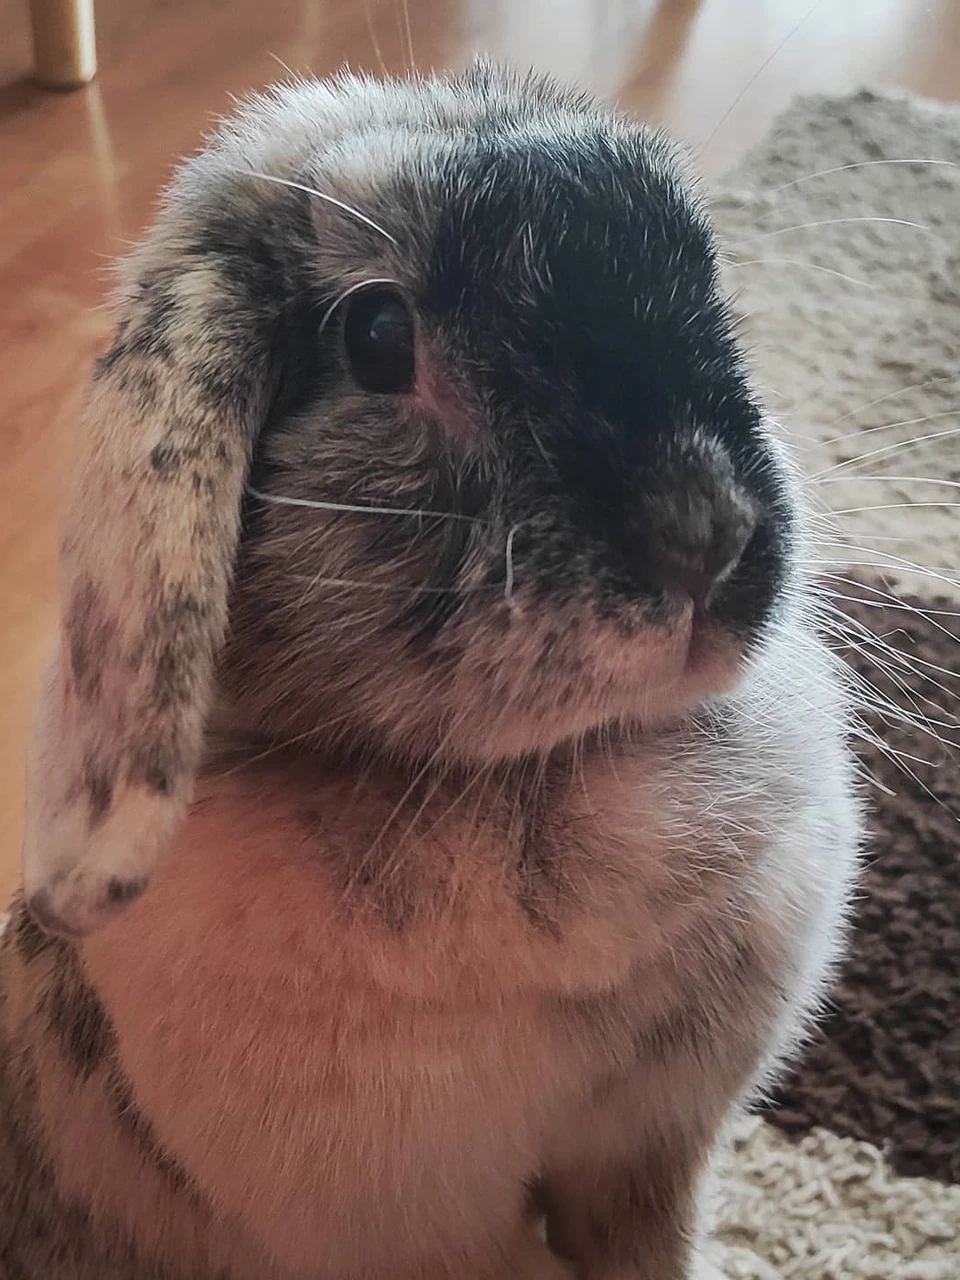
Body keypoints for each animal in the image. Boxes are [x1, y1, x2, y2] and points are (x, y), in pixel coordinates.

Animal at [0, 63, 860, 1280]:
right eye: (375, 334)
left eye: (705, 273)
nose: (708, 536)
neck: (536, 778)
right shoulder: (432, 1231)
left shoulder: (655, 1154)